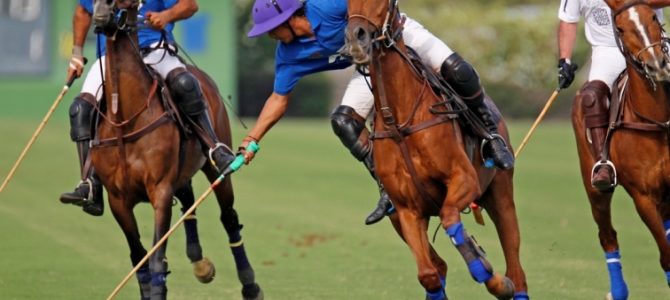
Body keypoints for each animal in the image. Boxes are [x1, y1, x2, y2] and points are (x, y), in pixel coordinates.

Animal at [91, 1, 262, 298]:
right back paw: (199, 261)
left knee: (229, 218)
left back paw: (249, 285)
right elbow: (139, 258)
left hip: (215, 167)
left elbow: (157, 260)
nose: (101, 11)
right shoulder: (117, 199)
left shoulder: (160, 189)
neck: (126, 119)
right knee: (187, 201)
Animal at [346, 1, 532, 298]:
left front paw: (491, 276)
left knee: (516, 268)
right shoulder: (406, 209)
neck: (399, 122)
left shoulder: (463, 179)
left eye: (384, 2)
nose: (356, 38)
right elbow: (429, 275)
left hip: (501, 194)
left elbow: (449, 218)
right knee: (439, 266)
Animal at [572, 1, 670, 298]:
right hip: (594, 189)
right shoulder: (643, 197)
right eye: (621, 28)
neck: (657, 120)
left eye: (653, 18)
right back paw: (618, 291)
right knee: (607, 236)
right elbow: (666, 256)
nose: (657, 65)